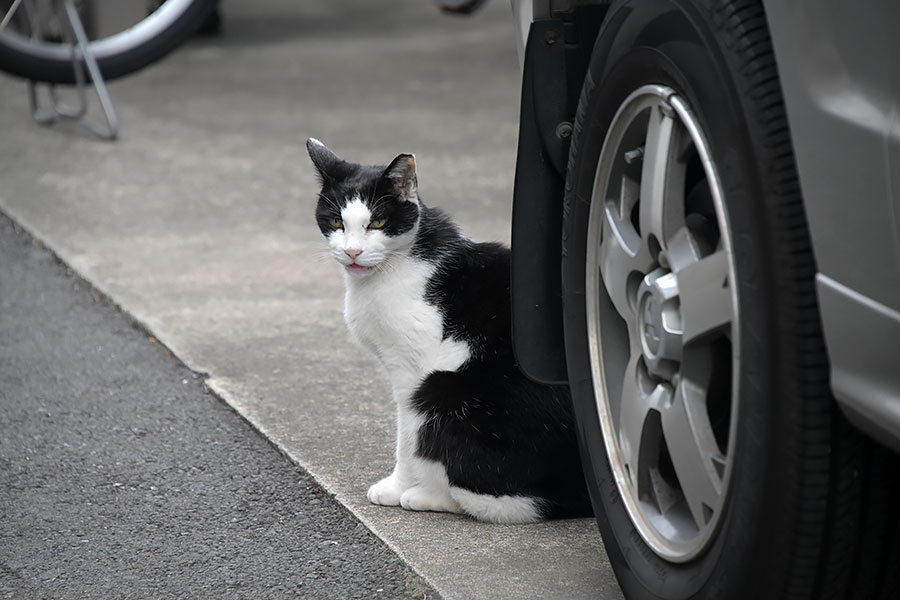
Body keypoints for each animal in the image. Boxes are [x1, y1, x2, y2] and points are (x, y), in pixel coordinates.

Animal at [306, 138, 596, 524]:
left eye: (378, 222)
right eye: (337, 221)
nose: (352, 252)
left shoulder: (411, 368)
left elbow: (406, 437)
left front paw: (397, 486)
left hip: (439, 390)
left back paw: (429, 496)